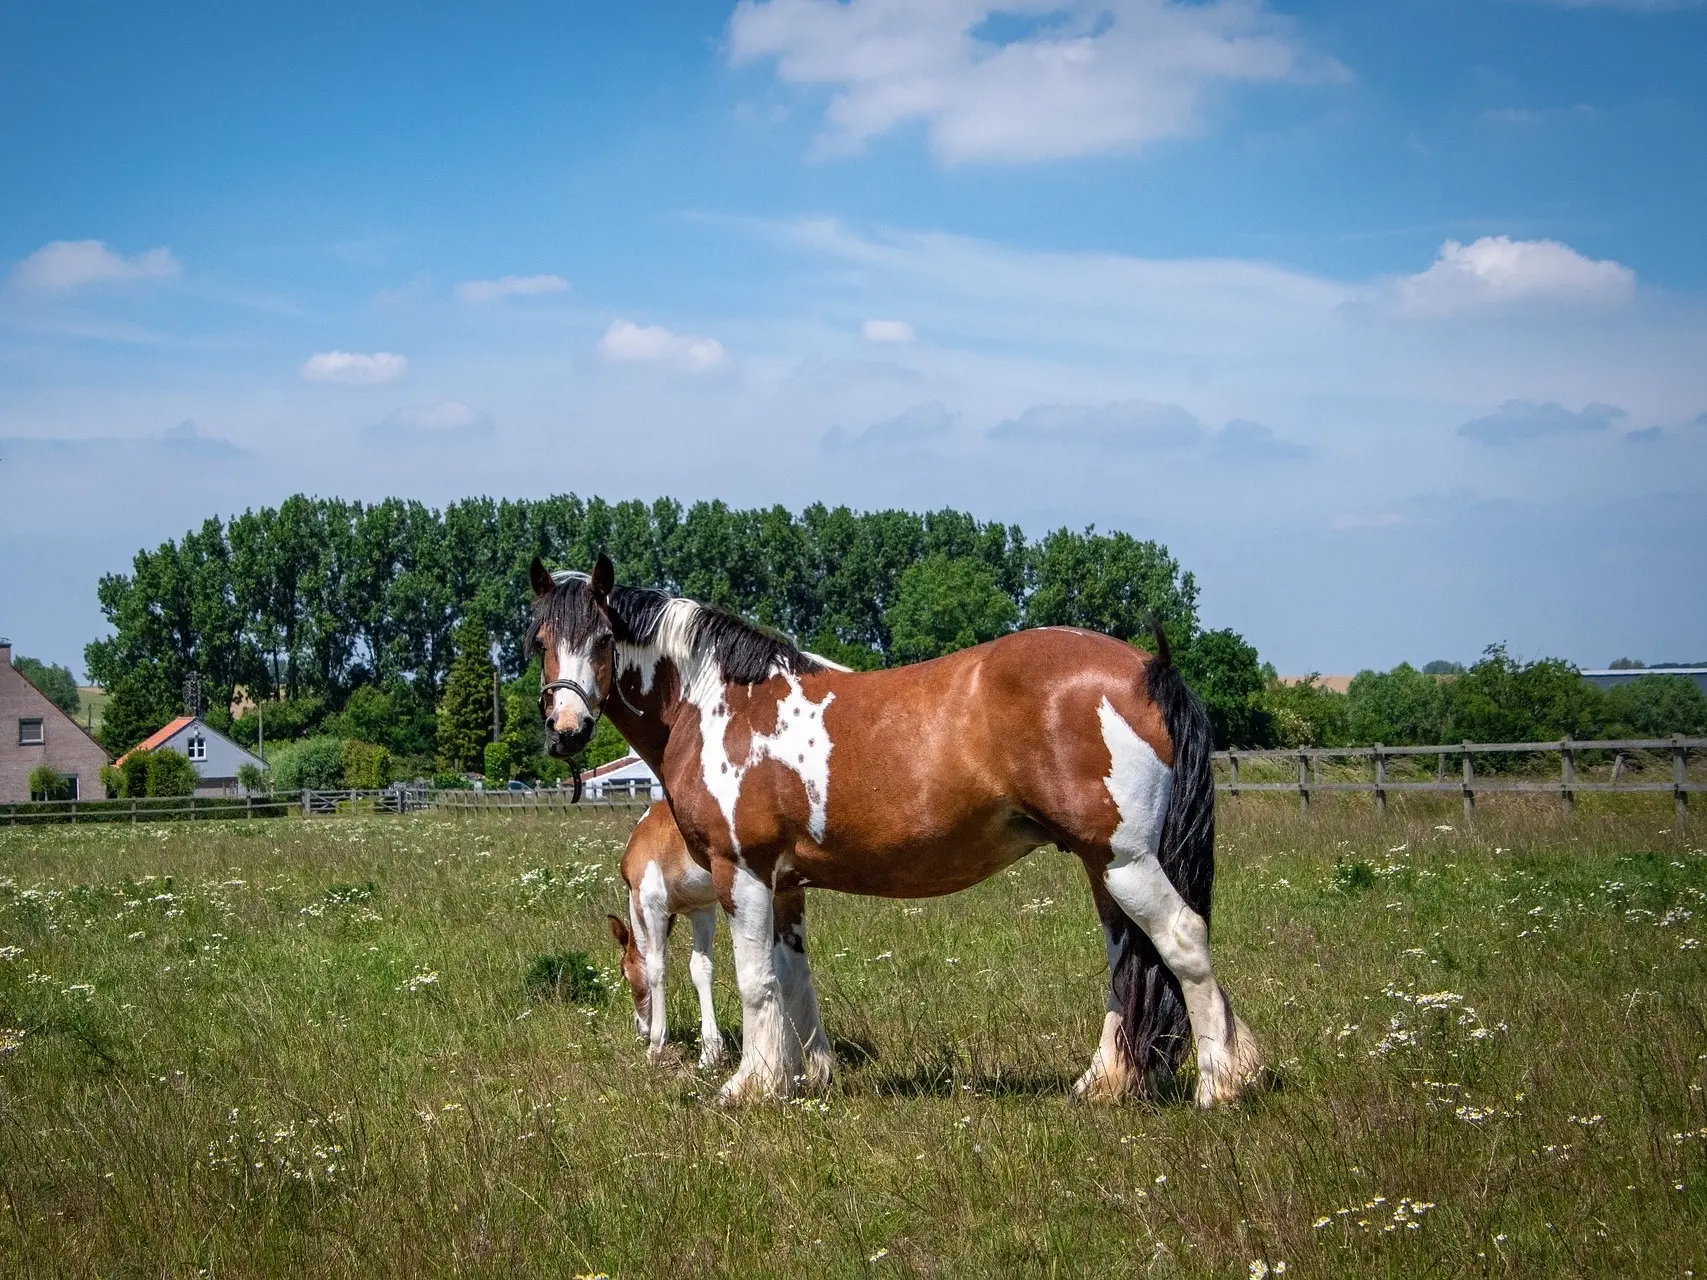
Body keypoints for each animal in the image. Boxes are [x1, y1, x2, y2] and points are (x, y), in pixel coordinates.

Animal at [532, 556, 1270, 1105]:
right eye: (539, 641)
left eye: (603, 639)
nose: (566, 730)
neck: (720, 701)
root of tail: (1146, 669)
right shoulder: (786, 884)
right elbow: (793, 978)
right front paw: (807, 1076)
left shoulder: (739, 871)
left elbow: (754, 980)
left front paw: (749, 1085)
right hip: (1102, 864)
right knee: (1126, 961)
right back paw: (1102, 1083)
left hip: (1124, 859)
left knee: (1181, 939)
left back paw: (1219, 1084)